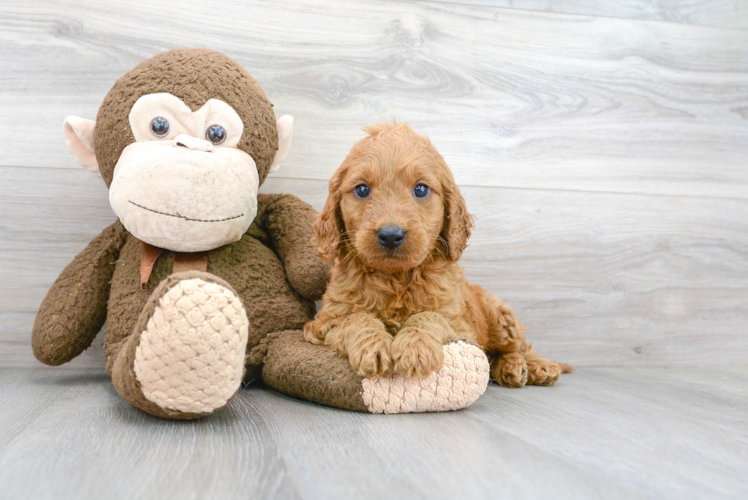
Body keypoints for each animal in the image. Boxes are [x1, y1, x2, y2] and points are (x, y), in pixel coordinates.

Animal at [300, 122, 568, 386]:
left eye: (420, 189)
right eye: (362, 189)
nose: (390, 235)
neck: (395, 278)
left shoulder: (458, 322)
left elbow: (429, 316)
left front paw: (414, 348)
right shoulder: (325, 320)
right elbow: (355, 319)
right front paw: (372, 347)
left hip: (500, 318)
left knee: (519, 347)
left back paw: (534, 367)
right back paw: (511, 369)